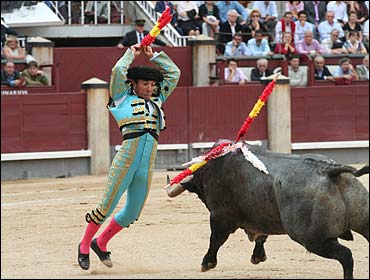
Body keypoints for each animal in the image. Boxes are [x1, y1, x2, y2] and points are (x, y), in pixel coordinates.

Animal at [168, 141, 370, 278]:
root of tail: (329, 171)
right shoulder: (261, 216)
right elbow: (261, 236)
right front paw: (258, 257)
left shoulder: (220, 215)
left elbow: (216, 239)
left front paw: (207, 263)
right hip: (363, 220)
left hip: (314, 240)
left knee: (346, 256)